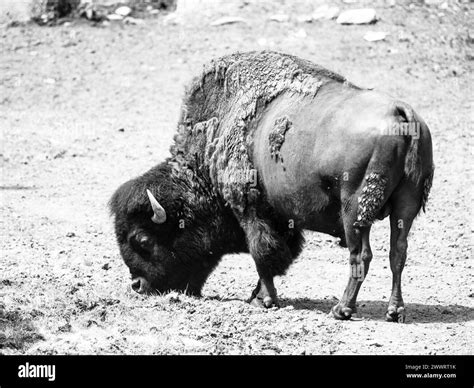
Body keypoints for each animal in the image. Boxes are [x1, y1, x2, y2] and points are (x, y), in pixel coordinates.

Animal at [108, 52, 434, 324]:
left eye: (142, 240)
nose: (138, 285)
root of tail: (400, 112)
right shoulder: (282, 218)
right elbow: (278, 253)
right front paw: (258, 295)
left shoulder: (250, 209)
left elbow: (263, 253)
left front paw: (263, 299)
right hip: (405, 207)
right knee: (398, 253)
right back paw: (394, 311)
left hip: (354, 211)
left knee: (361, 256)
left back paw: (342, 309)